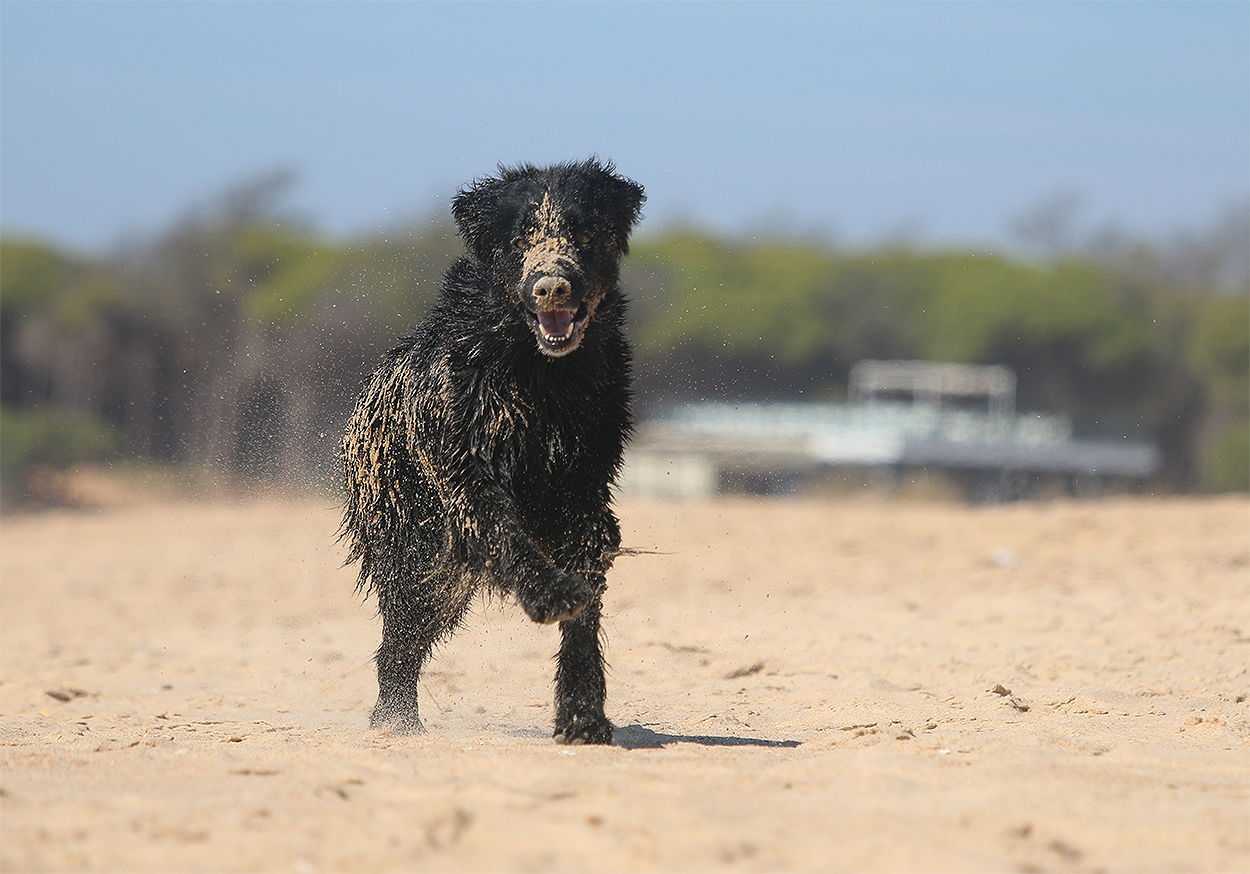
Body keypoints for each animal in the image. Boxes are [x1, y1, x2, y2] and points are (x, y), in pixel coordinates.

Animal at [341, 159, 645, 744]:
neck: (542, 376)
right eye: (521, 239)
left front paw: (582, 715)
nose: (552, 287)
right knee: (400, 641)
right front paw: (549, 594)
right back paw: (396, 722)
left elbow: (586, 602)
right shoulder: (464, 472)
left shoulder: (586, 489)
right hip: (420, 555)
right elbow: (506, 533)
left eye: (585, 234)